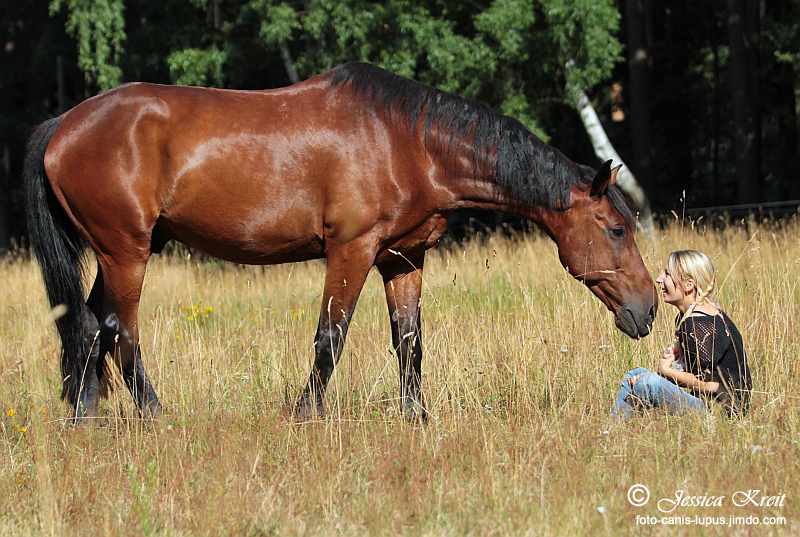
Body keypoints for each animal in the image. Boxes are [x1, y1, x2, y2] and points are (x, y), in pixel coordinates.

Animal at [23, 61, 656, 422]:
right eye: (617, 228)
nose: (648, 309)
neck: (408, 141)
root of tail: (60, 126)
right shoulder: (351, 251)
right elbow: (330, 338)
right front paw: (305, 415)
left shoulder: (404, 258)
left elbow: (409, 344)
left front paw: (415, 418)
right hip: (125, 252)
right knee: (119, 331)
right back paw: (154, 416)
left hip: (119, 253)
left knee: (87, 326)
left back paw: (86, 417)